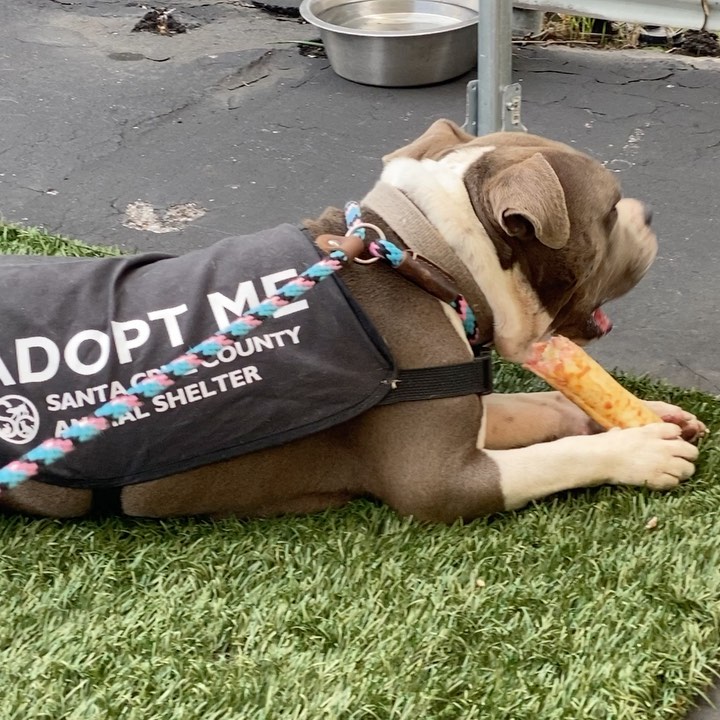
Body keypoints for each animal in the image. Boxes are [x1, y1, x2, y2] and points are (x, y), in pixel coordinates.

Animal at [0, 121, 704, 520]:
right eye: (611, 211)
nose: (651, 214)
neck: (424, 259)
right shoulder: (439, 480)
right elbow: (553, 459)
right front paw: (641, 449)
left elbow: (536, 407)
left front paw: (647, 413)